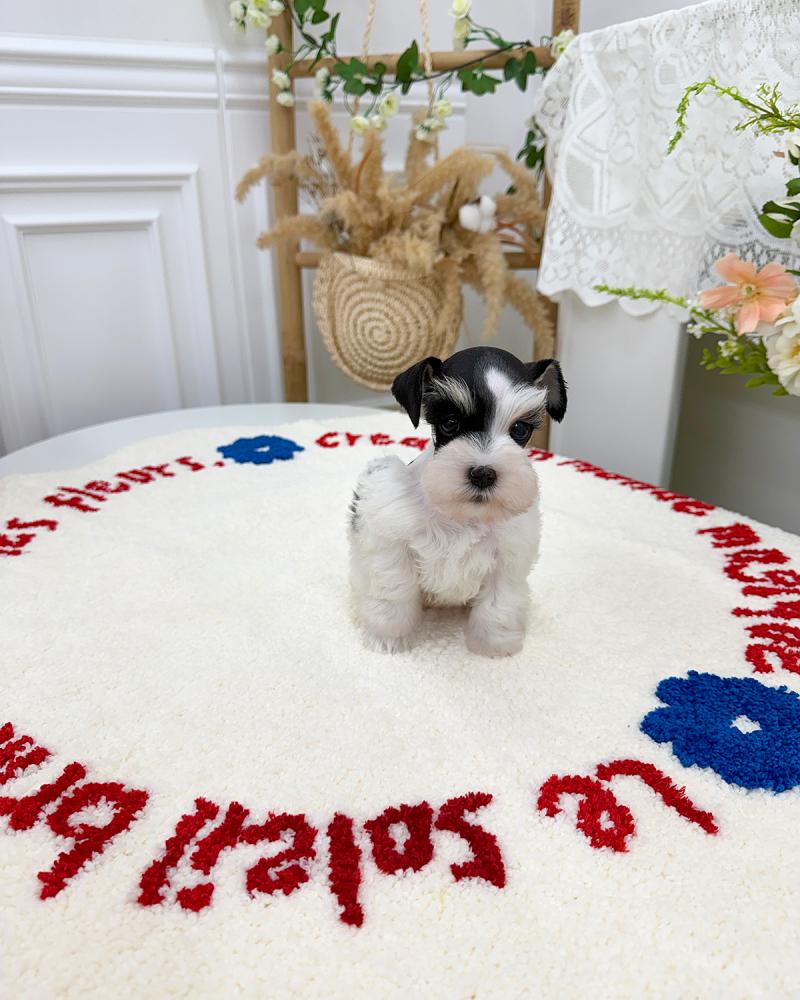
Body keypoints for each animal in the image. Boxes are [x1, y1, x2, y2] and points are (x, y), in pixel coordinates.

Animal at [349, 347, 567, 657]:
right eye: (450, 423)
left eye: (520, 430)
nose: (484, 473)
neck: (461, 514)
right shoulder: (392, 543)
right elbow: (394, 593)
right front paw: (388, 638)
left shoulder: (507, 559)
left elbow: (498, 605)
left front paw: (493, 646)